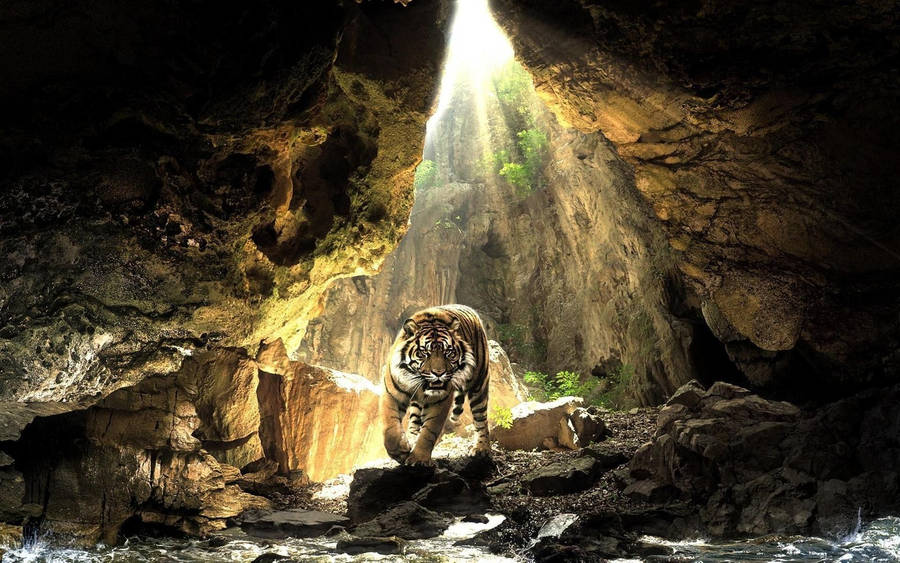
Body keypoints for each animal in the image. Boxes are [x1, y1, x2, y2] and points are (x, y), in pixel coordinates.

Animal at [380, 304, 490, 466]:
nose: (439, 373)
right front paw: (400, 451)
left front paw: (419, 459)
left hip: (479, 384)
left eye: (448, 353)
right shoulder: (391, 394)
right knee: (414, 420)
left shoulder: (439, 401)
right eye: (423, 353)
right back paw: (411, 438)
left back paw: (482, 448)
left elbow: (429, 431)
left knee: (481, 419)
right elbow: (390, 426)